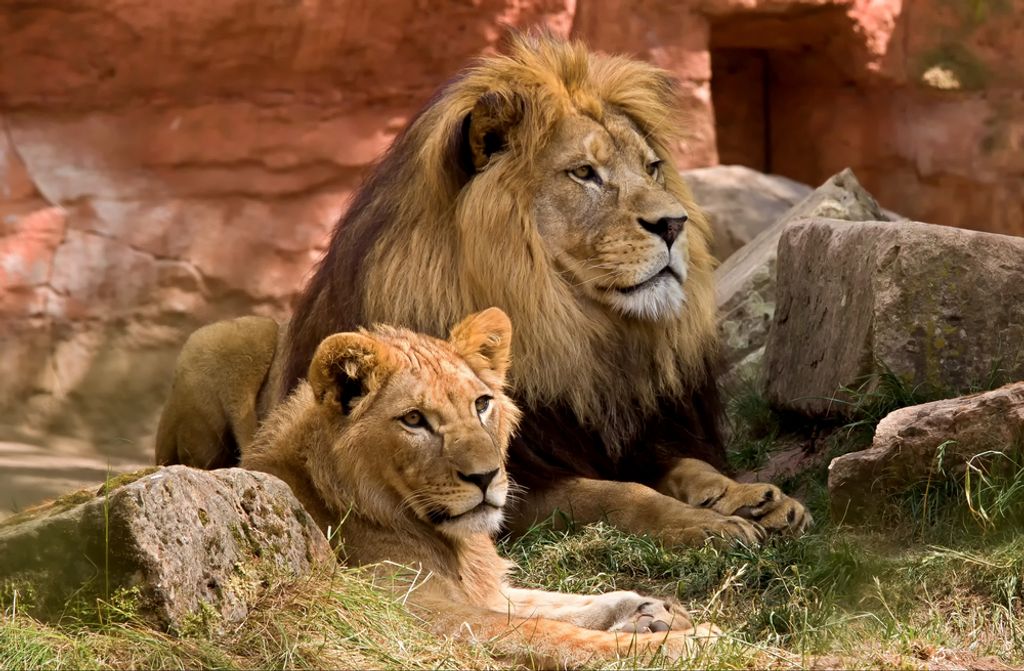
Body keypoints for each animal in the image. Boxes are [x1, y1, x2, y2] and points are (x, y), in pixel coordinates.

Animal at [243, 308, 717, 666]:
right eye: (414, 419)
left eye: (482, 404)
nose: (486, 476)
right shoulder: (407, 615)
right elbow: (545, 631)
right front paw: (686, 642)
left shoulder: (480, 590)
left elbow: (551, 602)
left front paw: (649, 610)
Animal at [274, 32, 810, 544]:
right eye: (585, 173)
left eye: (652, 168)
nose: (675, 224)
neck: (571, 333)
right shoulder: (508, 485)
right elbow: (621, 494)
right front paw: (707, 524)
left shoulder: (636, 437)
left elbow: (692, 467)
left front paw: (752, 498)